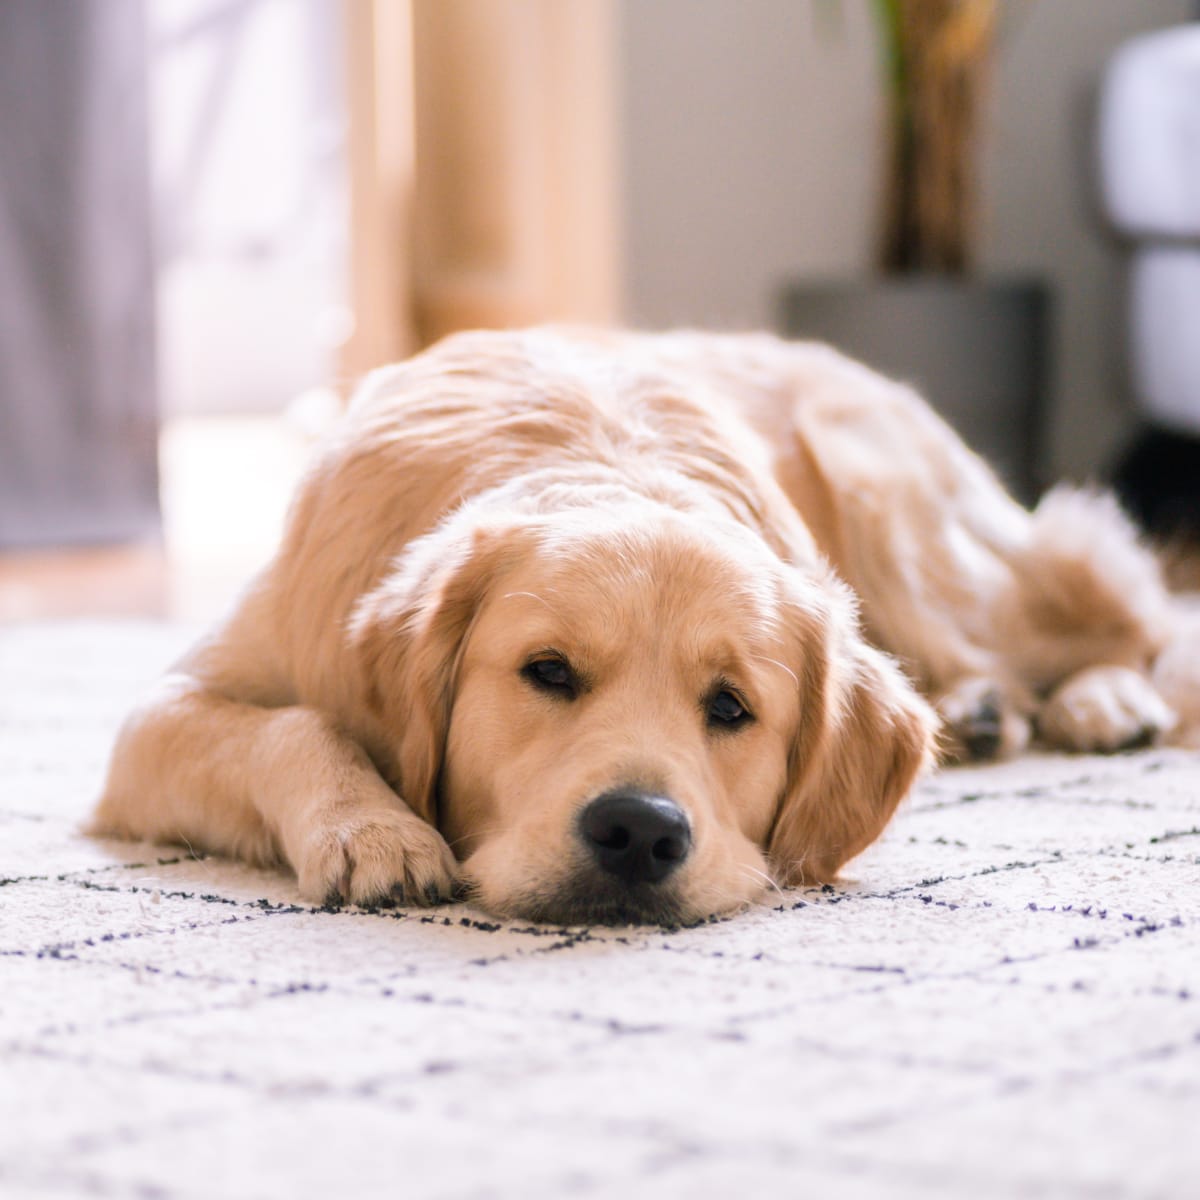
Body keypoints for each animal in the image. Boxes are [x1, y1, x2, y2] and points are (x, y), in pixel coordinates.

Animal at [96, 328, 1200, 926]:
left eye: (733, 707)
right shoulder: (157, 719)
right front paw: (372, 829)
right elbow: (295, 724)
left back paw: (1101, 702)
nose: (638, 832)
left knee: (1130, 615)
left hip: (906, 529)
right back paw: (992, 710)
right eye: (546, 672)